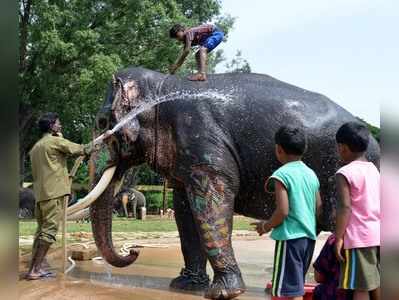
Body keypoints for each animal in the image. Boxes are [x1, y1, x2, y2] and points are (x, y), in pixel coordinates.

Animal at [69, 68, 382, 300]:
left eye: (102, 122)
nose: (133, 251)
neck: (164, 85)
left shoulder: (202, 139)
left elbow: (211, 204)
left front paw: (222, 293)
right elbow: (185, 211)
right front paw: (185, 286)